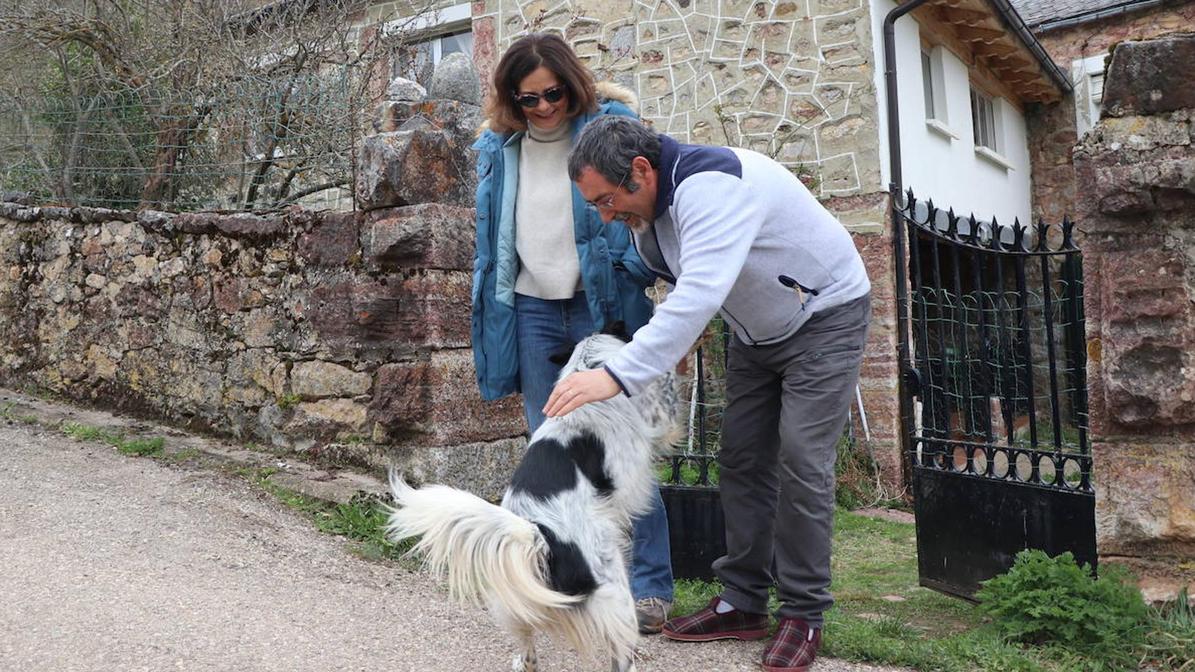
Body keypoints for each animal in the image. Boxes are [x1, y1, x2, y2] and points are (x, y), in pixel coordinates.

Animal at [384, 332, 678, 669]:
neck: (585, 368)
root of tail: (541, 535)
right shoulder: (646, 446)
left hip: (511, 598)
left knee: (527, 652)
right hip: (615, 592)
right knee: (620, 652)